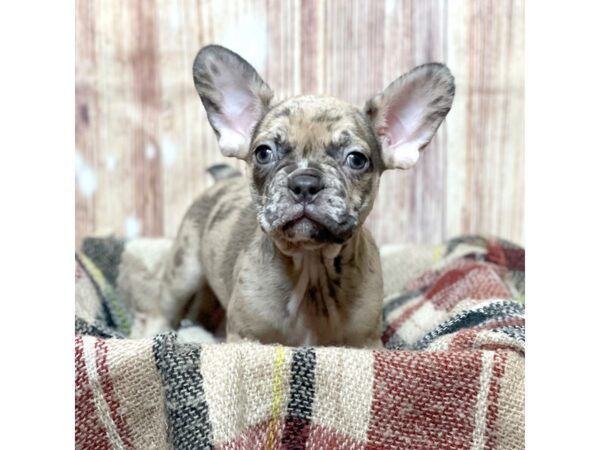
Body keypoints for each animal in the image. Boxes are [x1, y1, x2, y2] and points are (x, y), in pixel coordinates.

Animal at [157, 44, 452, 348]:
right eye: (263, 153)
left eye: (357, 159)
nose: (305, 183)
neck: (312, 266)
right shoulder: (245, 337)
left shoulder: (366, 342)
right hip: (183, 269)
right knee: (162, 309)